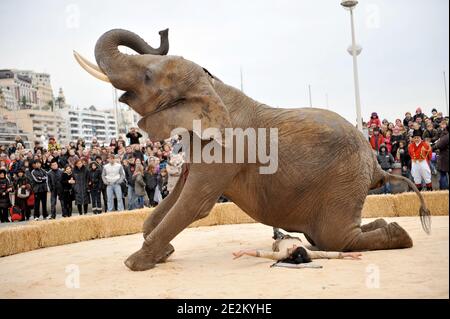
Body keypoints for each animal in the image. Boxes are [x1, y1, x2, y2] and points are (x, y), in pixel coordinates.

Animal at [75, 28, 430, 272]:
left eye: (148, 76)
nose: (163, 31)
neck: (211, 86)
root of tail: (376, 166)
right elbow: (175, 196)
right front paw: (162, 254)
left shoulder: (227, 148)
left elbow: (194, 203)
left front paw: (134, 263)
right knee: (327, 237)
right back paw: (390, 228)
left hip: (344, 181)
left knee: (335, 238)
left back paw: (400, 235)